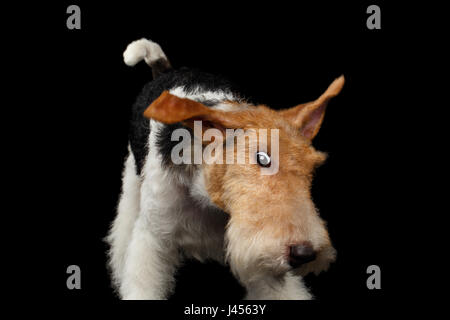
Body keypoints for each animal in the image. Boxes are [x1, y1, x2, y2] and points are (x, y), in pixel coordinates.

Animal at [106, 37, 344, 300]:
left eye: (312, 165)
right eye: (262, 158)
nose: (304, 253)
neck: (205, 196)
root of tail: (166, 70)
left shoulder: (257, 256)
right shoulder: (153, 238)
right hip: (132, 178)